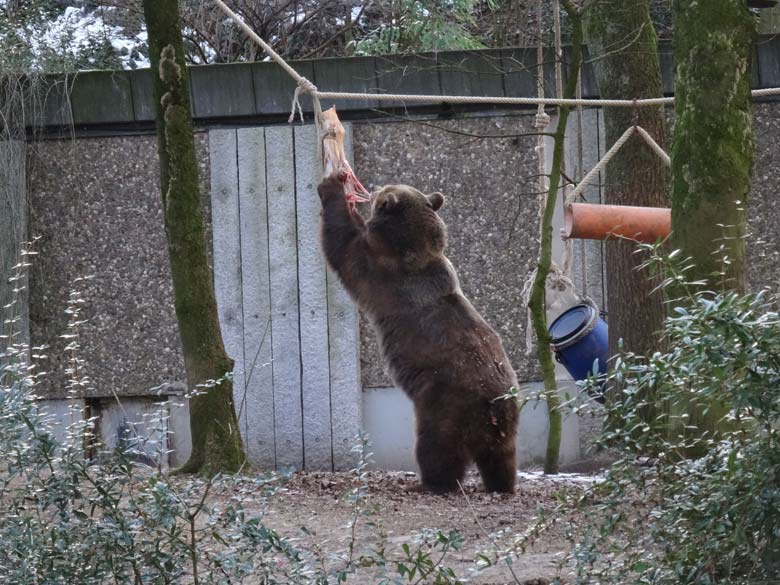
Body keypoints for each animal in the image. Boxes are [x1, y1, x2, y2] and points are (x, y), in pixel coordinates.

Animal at [316, 175, 516, 492]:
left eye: (384, 190)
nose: (374, 188)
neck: (412, 249)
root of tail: (493, 406)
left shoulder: (381, 272)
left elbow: (343, 245)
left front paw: (333, 185)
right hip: (505, 419)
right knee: (501, 456)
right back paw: (501, 484)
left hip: (445, 403)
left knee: (437, 447)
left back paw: (431, 483)